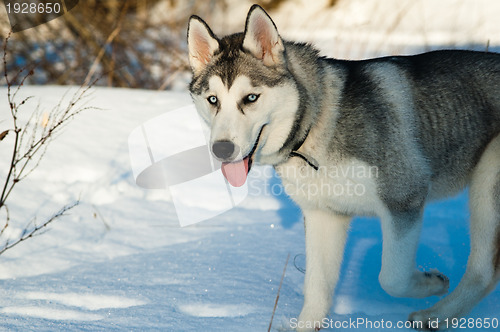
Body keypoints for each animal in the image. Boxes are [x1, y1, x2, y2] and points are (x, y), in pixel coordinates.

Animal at [187, 3, 500, 330]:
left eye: (250, 98)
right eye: (213, 100)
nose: (221, 149)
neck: (314, 126)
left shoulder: (404, 199)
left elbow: (392, 278)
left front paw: (432, 282)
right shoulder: (324, 215)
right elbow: (317, 291)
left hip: (487, 185)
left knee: (484, 271)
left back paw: (435, 314)